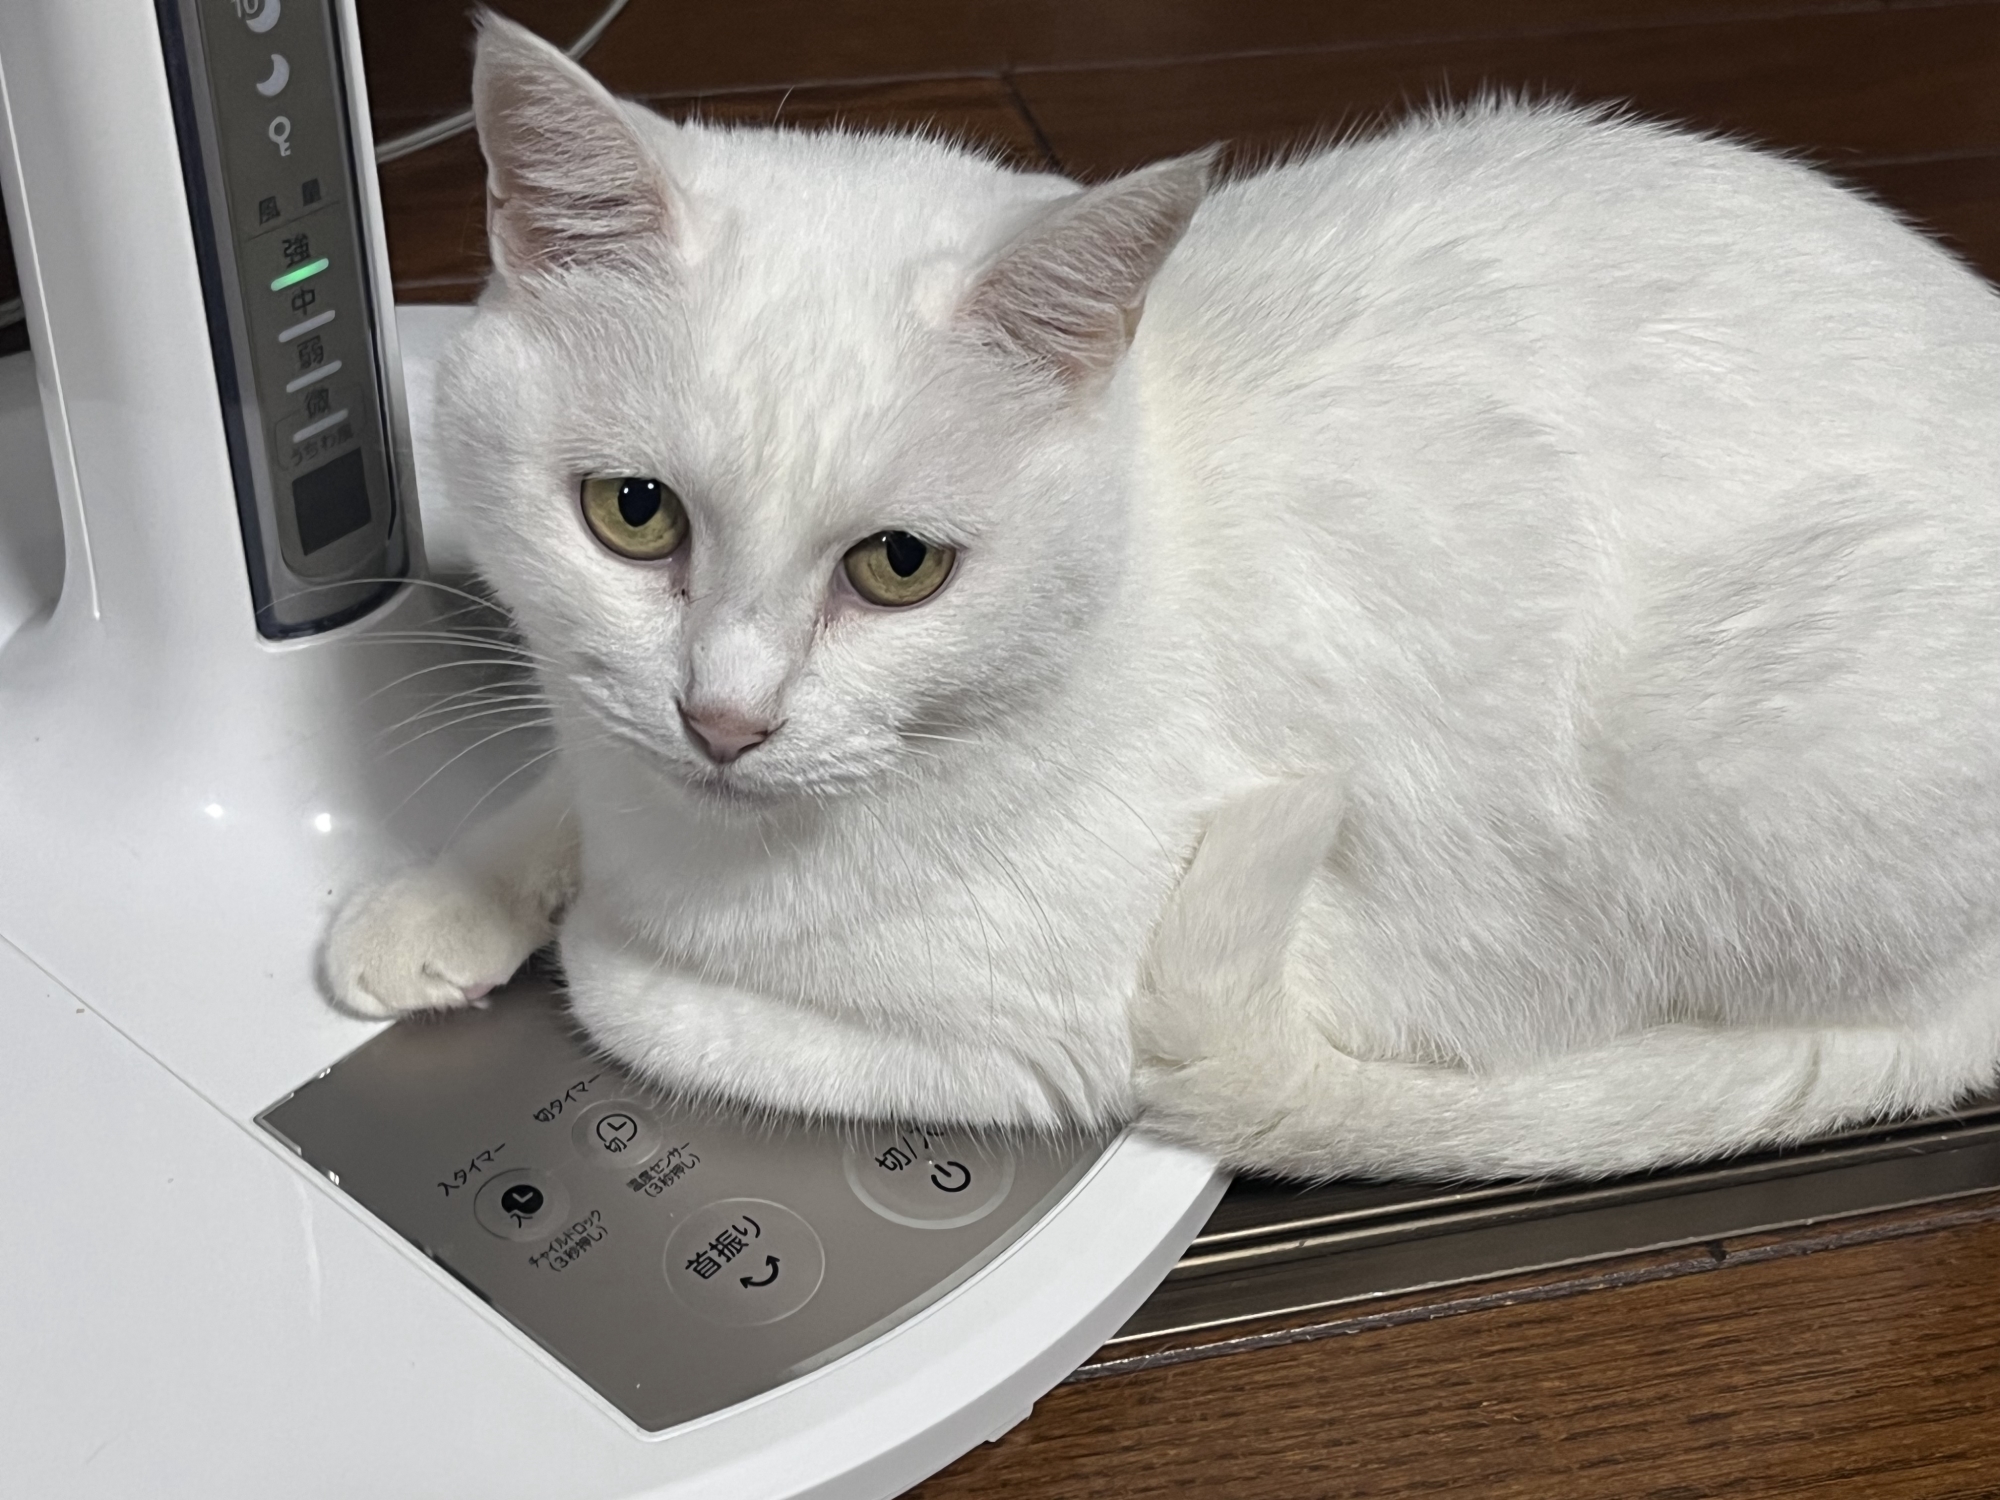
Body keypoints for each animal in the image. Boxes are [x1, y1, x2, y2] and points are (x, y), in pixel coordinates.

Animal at [326, 12, 2000, 1180]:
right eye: (633, 513)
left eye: (899, 567)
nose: (724, 720)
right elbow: (563, 777)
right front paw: (444, 898)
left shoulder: (1055, 1044)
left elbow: (638, 998)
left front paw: (588, 940)